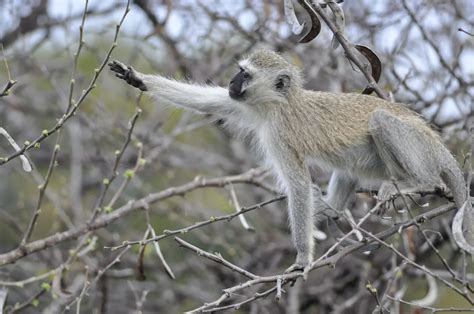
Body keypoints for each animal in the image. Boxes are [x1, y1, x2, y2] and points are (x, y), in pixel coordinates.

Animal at [108, 49, 474, 272]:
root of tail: (440, 145)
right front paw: (138, 79)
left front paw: (301, 257)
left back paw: (417, 183)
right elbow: (210, 101)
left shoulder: (279, 133)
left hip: (419, 147)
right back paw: (331, 209)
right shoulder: (243, 105)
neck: (278, 103)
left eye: (245, 74)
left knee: (382, 122)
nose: (231, 82)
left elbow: (297, 186)